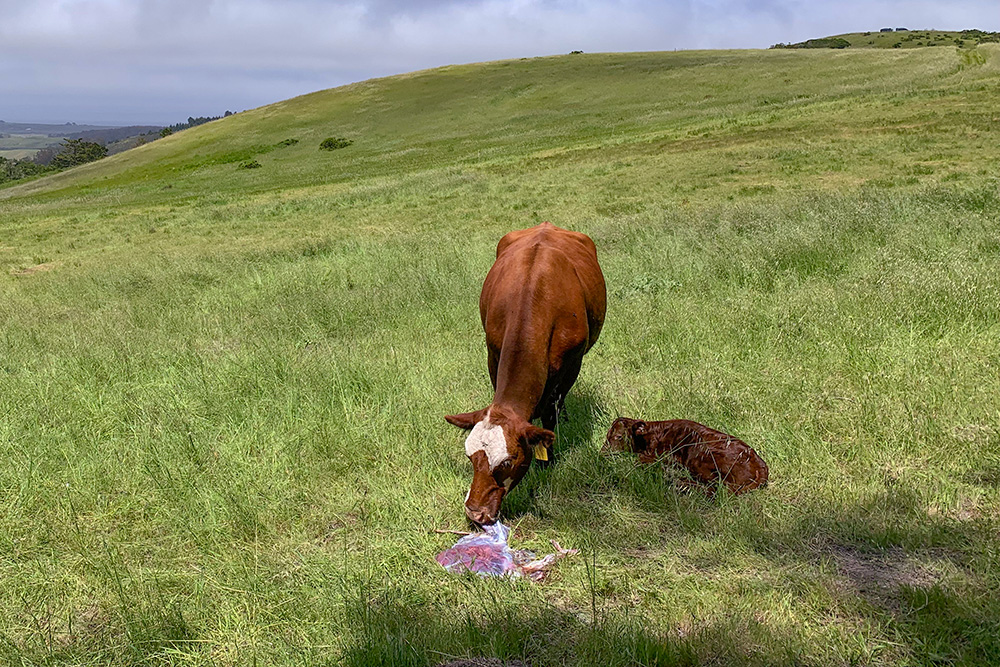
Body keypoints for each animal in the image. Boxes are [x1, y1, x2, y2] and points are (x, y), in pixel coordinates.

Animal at [448, 224, 604, 528]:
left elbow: (551, 413)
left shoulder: (573, 362)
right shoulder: (493, 352)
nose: (475, 513)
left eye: (508, 462)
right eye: (470, 457)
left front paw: (548, 459)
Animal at [604, 418, 768, 496]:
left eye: (618, 436)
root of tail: (761, 464)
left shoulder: (667, 457)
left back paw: (678, 483)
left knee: (716, 489)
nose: (603, 454)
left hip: (702, 459)